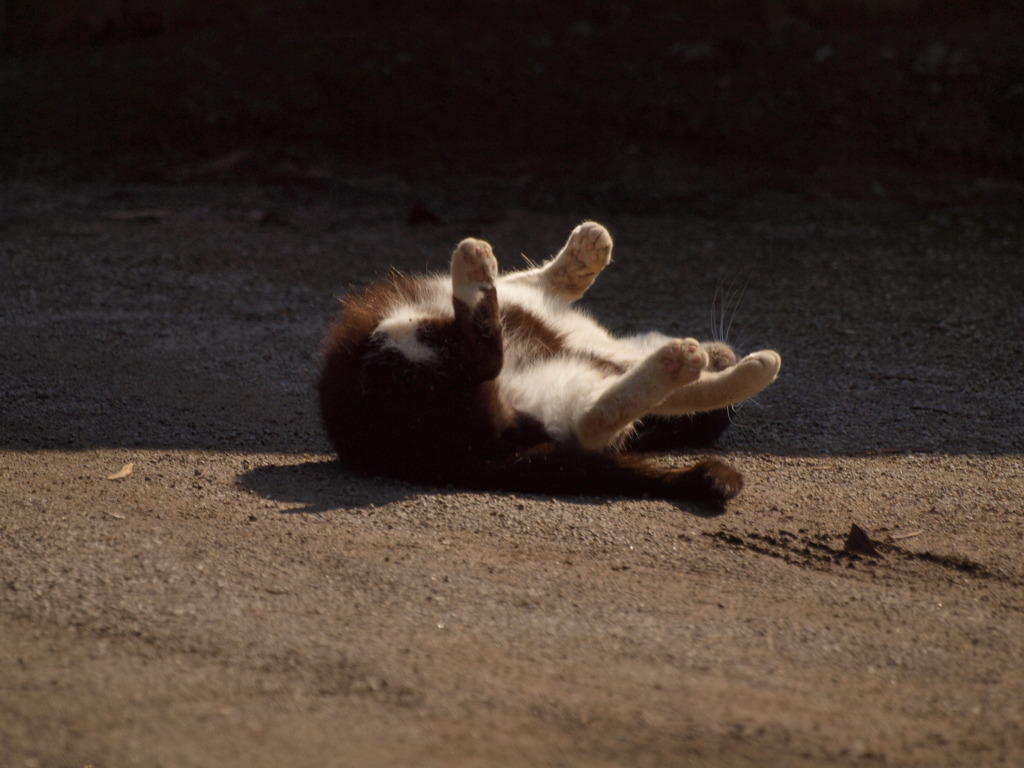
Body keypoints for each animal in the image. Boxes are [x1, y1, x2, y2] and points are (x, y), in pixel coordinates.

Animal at [315, 222, 778, 507]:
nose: (729, 355)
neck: (610, 350)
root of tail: (476, 458)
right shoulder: (534, 302)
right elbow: (544, 279)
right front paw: (586, 252)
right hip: (555, 392)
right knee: (592, 418)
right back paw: (703, 365)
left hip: (397, 350)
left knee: (498, 367)